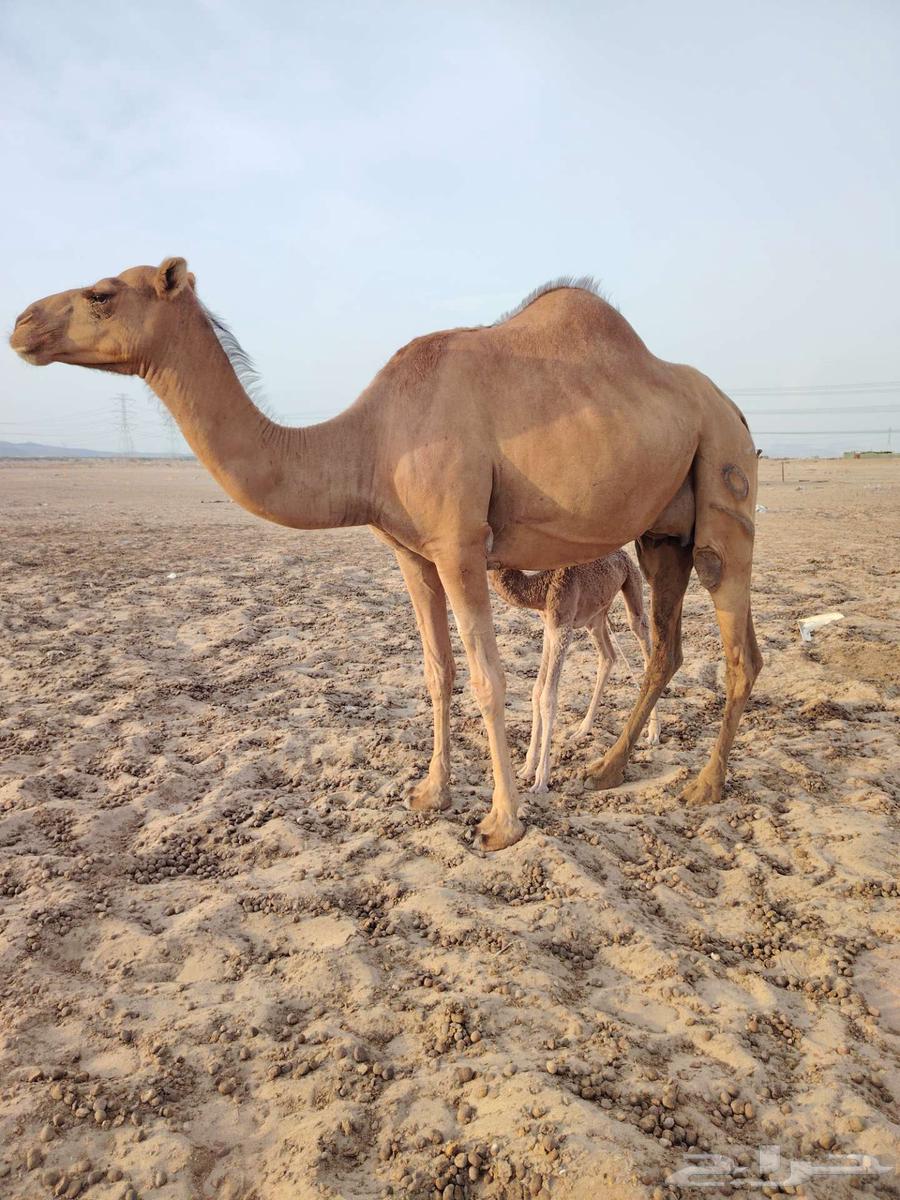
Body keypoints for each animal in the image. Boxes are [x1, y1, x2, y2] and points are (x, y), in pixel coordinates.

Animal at [490, 549, 659, 793]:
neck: (541, 588)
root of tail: (624, 555)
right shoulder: (549, 627)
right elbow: (536, 691)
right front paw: (527, 768)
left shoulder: (563, 628)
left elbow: (548, 698)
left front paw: (541, 780)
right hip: (596, 616)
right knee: (608, 656)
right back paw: (582, 729)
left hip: (632, 587)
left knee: (644, 642)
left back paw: (654, 733)